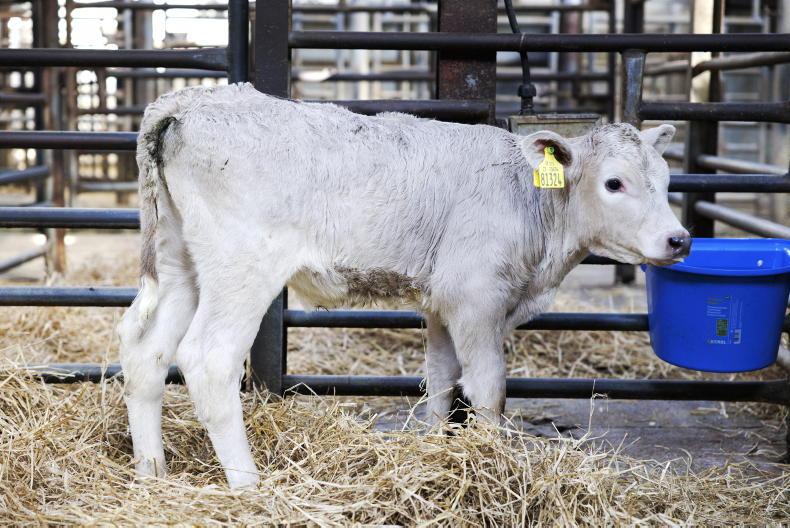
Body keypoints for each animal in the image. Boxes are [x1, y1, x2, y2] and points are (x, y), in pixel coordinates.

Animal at [117, 83, 690, 488]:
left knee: (145, 351)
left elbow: (439, 380)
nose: (679, 239)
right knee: (208, 358)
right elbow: (488, 390)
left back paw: (152, 471)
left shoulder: (442, 304)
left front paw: (437, 447)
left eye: (666, 180)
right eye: (614, 182)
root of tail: (188, 101)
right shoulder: (477, 298)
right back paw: (249, 484)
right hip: (242, 269)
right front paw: (492, 461)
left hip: (180, 262)